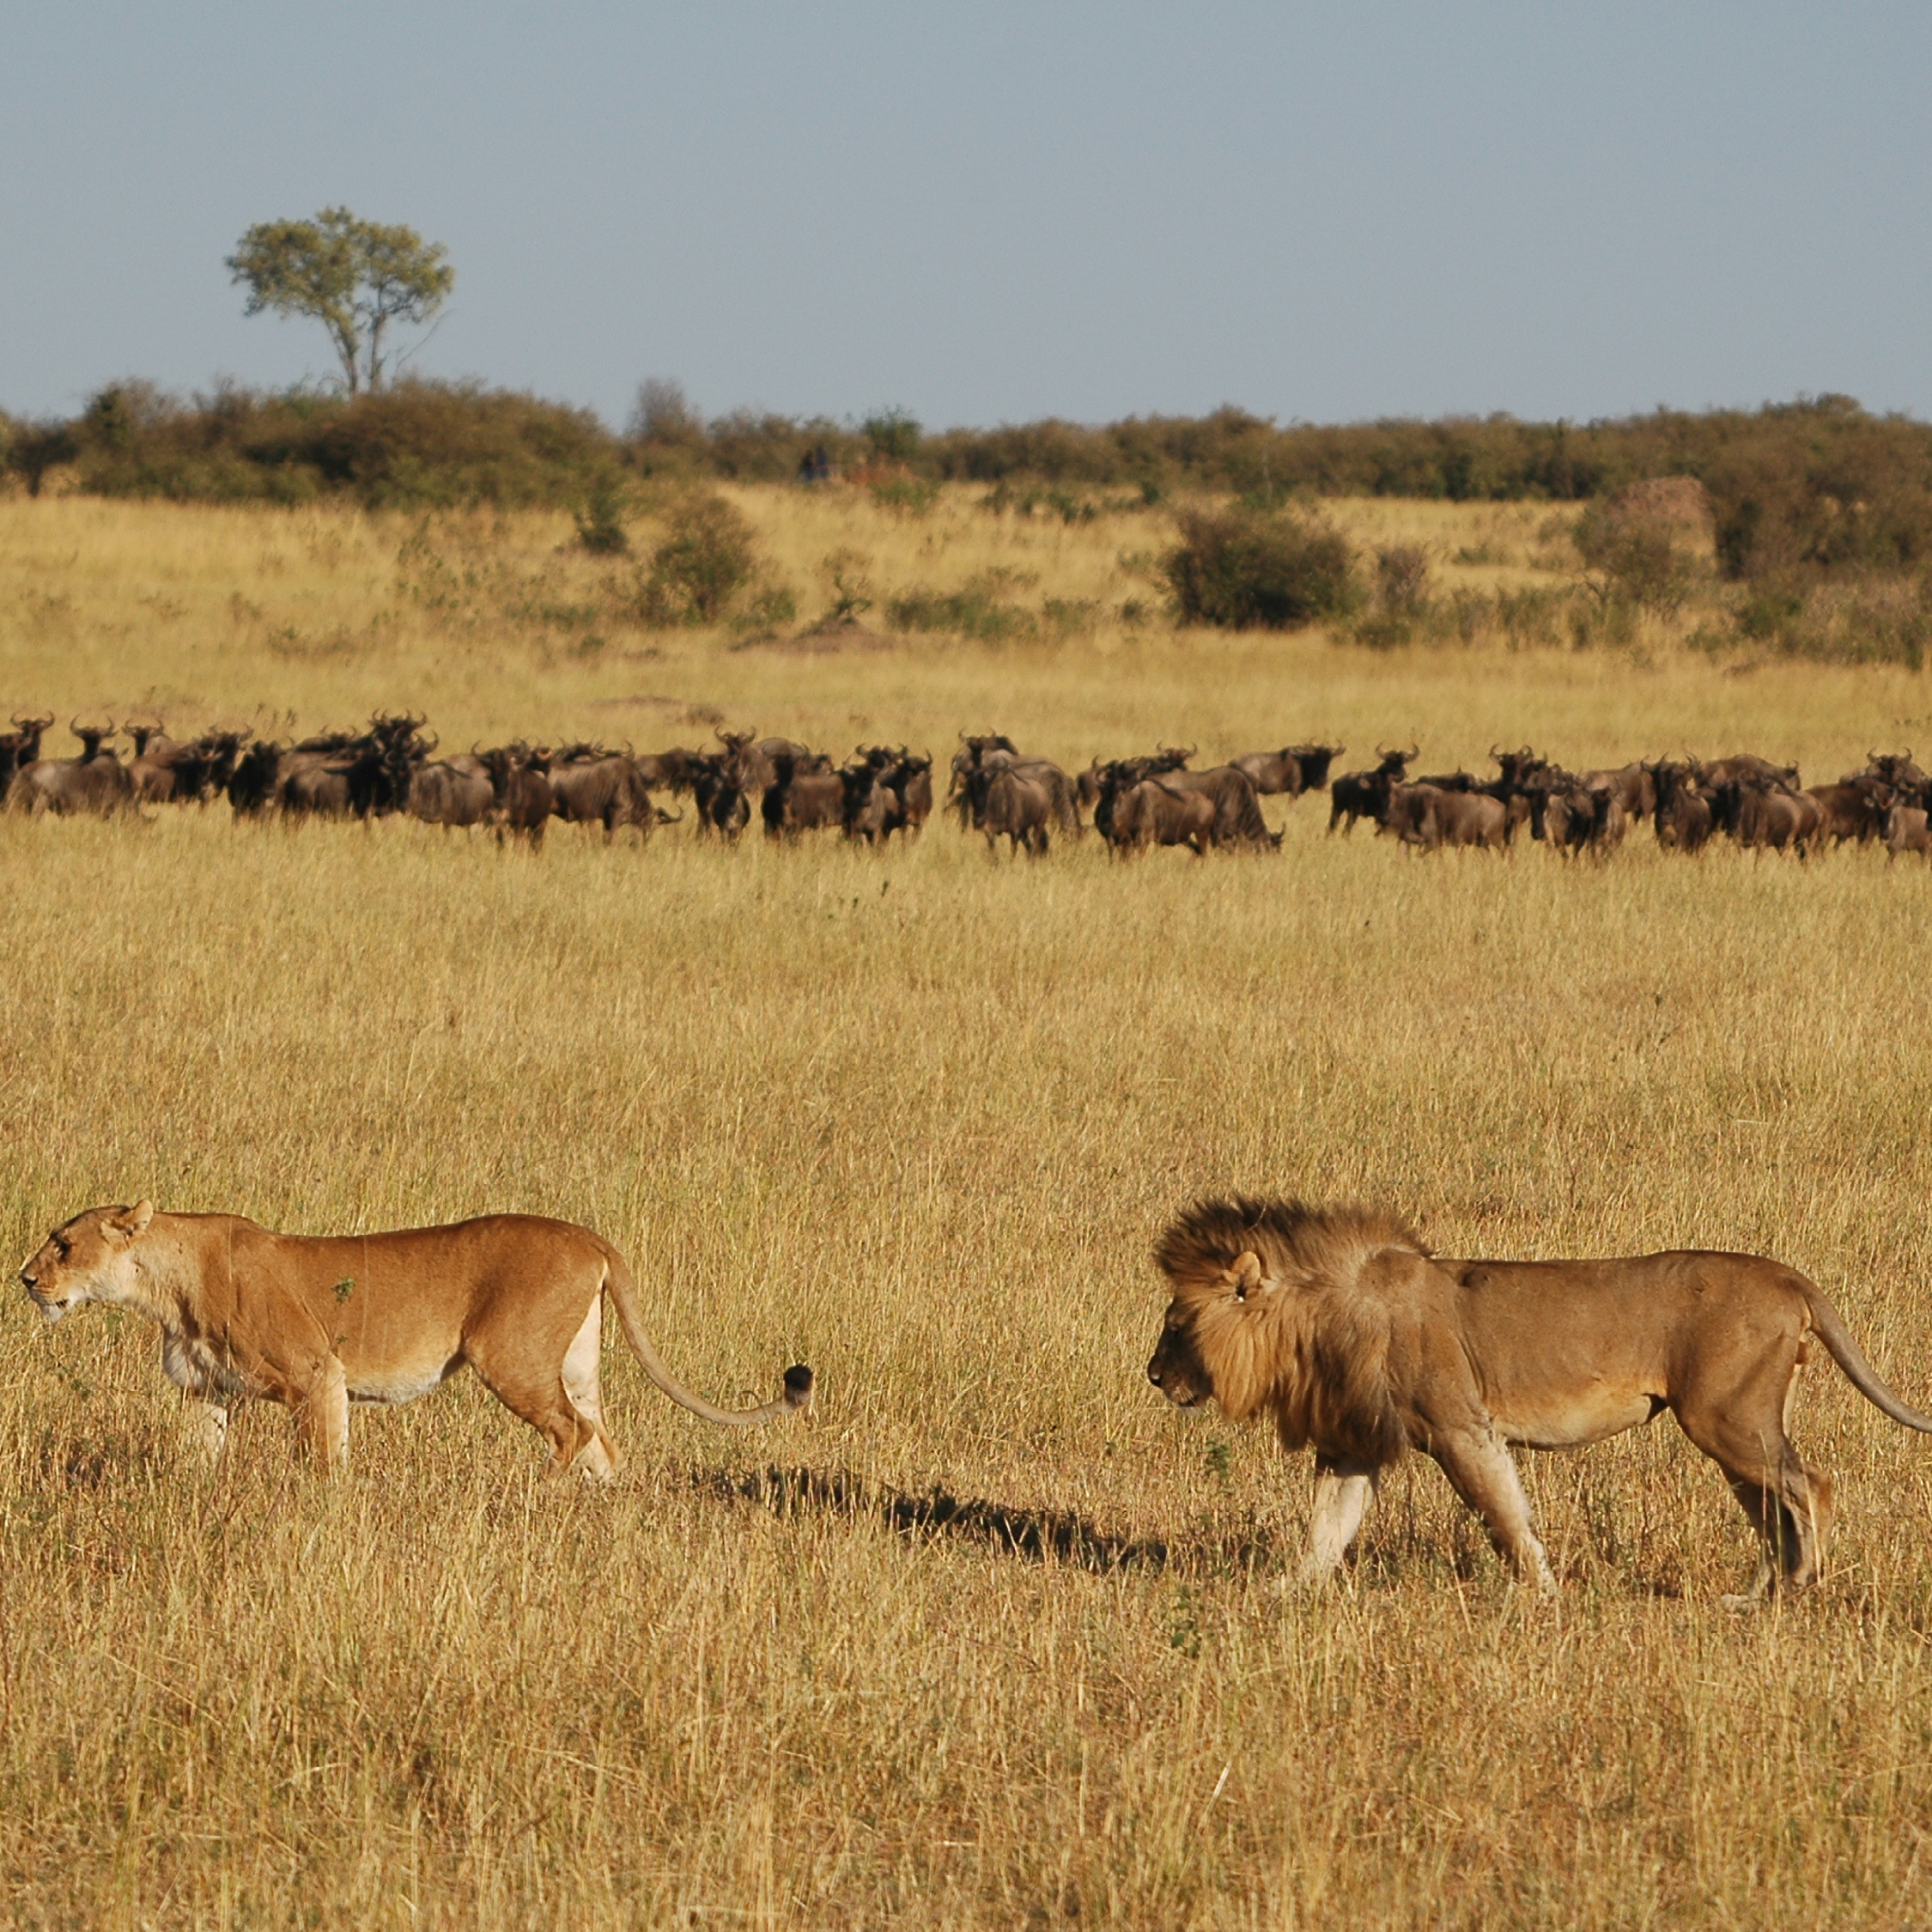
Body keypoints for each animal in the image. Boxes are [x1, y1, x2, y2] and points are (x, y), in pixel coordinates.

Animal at [21, 1206, 815, 1476]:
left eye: (63, 1244)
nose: (26, 1279)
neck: (165, 1284)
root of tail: (590, 1237)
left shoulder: (317, 1372)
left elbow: (322, 1462)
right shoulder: (206, 1392)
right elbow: (198, 1457)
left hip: (511, 1357)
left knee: (570, 1430)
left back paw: (537, 1498)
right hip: (577, 1361)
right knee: (603, 1438)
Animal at [1144, 1190, 1932, 1600]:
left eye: (1177, 1325)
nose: (1152, 1375)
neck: (1316, 1323)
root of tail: (1790, 1279)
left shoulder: (1462, 1428)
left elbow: (1505, 1516)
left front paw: (1544, 1597)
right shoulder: (1353, 1442)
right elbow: (1326, 1530)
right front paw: (1282, 1593)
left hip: (1726, 1416)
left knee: (1811, 1488)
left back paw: (1800, 1589)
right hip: (1734, 1425)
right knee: (1772, 1505)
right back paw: (1757, 1594)